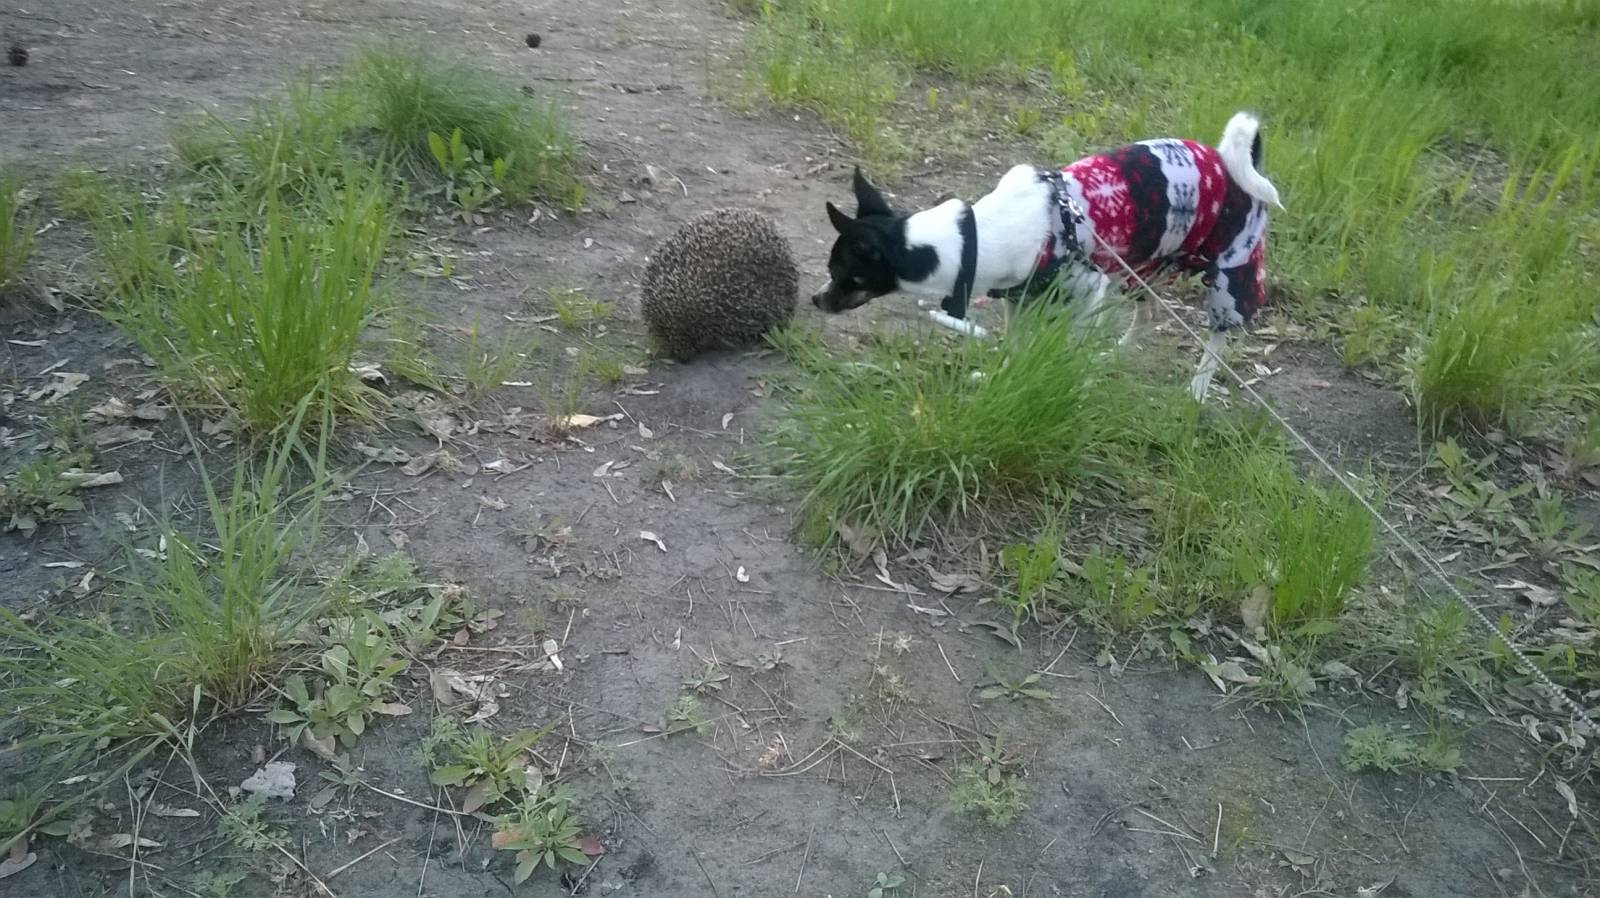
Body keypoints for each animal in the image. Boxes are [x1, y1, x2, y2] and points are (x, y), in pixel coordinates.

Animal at [810, 112, 1283, 400]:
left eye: (842, 273)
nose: (815, 299)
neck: (975, 237)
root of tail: (1230, 160)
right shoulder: (1018, 299)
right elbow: (1014, 346)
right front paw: (1003, 379)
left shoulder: (1089, 290)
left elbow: (1070, 346)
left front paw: (1070, 381)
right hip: (1143, 268)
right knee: (1148, 315)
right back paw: (1118, 353)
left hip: (1231, 268)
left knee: (1218, 335)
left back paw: (1197, 389)